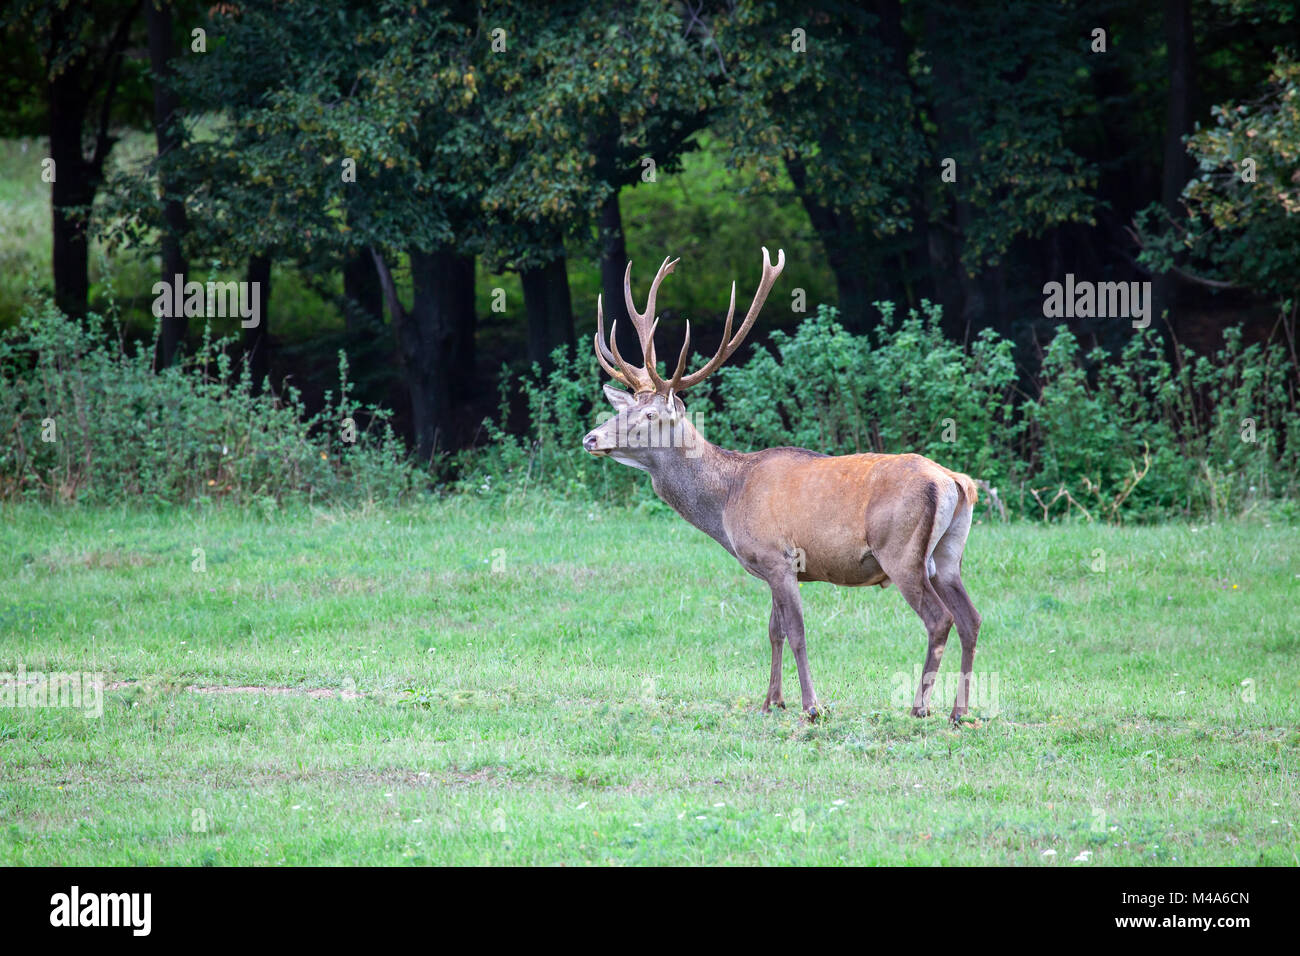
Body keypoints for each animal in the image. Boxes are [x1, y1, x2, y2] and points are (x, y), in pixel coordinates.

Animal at [585, 247, 977, 723]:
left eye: (647, 415)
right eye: (621, 409)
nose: (591, 438)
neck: (727, 500)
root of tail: (956, 482)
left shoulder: (780, 557)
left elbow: (796, 632)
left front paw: (812, 706)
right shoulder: (768, 566)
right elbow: (772, 631)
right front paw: (771, 701)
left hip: (901, 551)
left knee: (940, 619)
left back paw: (920, 707)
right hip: (948, 554)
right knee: (972, 618)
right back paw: (959, 712)